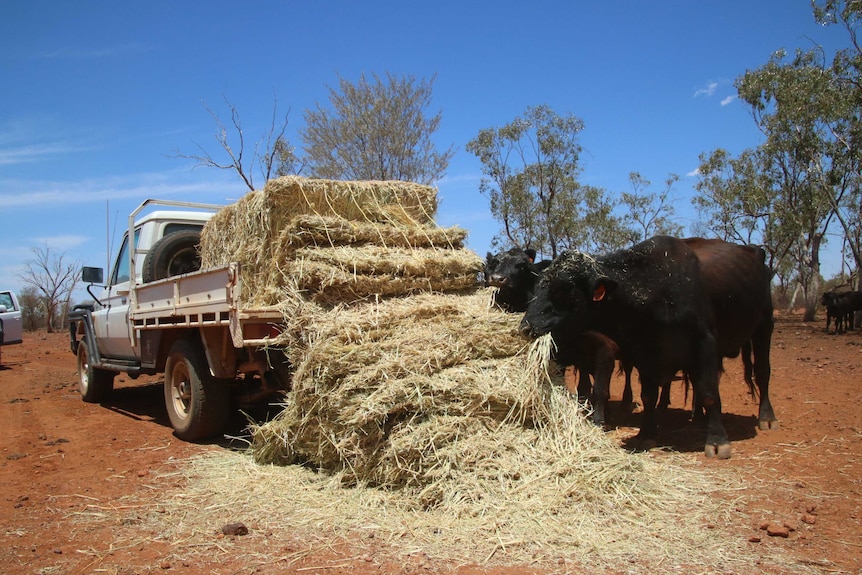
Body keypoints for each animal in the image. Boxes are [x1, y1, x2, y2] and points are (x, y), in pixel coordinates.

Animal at [524, 235, 780, 460]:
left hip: (764, 326)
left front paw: (717, 441)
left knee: (762, 373)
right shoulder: (644, 353)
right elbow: (648, 395)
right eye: (537, 286)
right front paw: (646, 434)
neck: (654, 288)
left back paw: (766, 417)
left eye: (565, 289)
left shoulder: (705, 341)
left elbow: (709, 393)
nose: (526, 325)